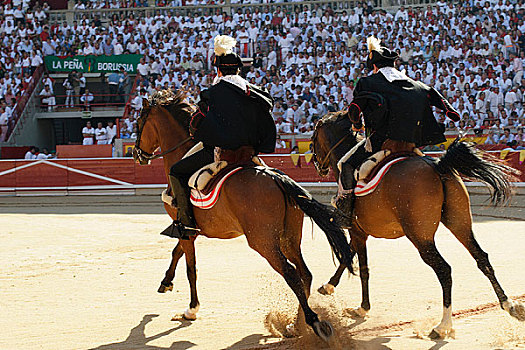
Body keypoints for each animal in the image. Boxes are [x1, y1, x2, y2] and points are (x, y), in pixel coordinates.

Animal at [129, 89, 354, 342]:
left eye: (139, 123)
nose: (137, 154)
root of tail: (277, 178)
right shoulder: (189, 229)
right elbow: (177, 251)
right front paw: (166, 282)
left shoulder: (185, 228)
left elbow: (190, 267)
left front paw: (191, 309)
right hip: (289, 238)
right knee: (304, 274)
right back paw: (295, 325)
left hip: (263, 242)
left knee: (291, 274)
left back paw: (314, 322)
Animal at [312, 110, 524, 338]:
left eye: (313, 138)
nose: (316, 164)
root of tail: (437, 166)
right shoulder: (360, 231)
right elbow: (348, 256)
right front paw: (328, 286)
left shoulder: (357, 232)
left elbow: (362, 267)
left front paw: (362, 307)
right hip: (460, 224)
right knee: (481, 258)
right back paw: (509, 304)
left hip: (420, 237)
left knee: (444, 270)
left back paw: (443, 326)